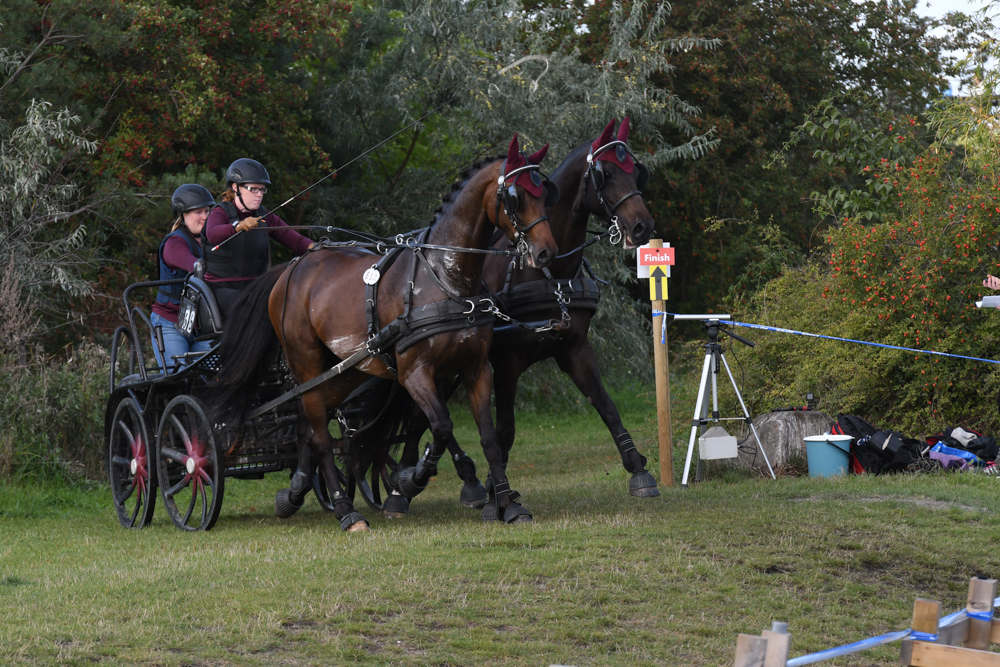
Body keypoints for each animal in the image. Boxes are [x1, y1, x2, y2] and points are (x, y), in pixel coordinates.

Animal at [210, 134, 559, 530]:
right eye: (516, 196)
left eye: (545, 192)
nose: (546, 253)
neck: (445, 277)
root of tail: (292, 268)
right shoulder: (414, 373)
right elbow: (440, 426)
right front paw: (412, 480)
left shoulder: (476, 369)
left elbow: (489, 439)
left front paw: (507, 504)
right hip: (306, 362)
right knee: (320, 435)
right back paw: (346, 511)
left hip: (344, 370)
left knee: (307, 426)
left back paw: (296, 492)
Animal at [394, 117, 659, 517]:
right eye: (607, 173)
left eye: (636, 172)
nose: (642, 226)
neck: (548, 274)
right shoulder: (507, 361)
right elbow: (504, 431)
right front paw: (496, 492)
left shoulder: (574, 348)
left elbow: (606, 406)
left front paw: (637, 468)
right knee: (417, 417)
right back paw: (424, 482)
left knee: (418, 417)